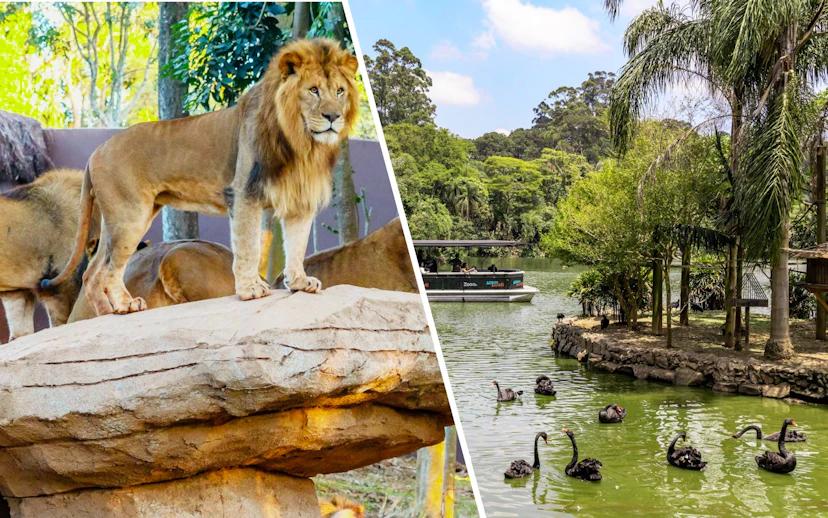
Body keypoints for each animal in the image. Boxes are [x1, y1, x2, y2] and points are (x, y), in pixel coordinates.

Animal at [43, 38, 360, 316]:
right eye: (314, 90)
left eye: (340, 91)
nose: (333, 117)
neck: (302, 142)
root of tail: (95, 152)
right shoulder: (244, 193)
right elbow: (248, 246)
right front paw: (250, 290)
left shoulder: (298, 200)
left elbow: (296, 245)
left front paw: (299, 283)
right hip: (129, 215)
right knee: (109, 270)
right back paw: (124, 306)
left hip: (118, 220)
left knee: (93, 272)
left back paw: (107, 313)